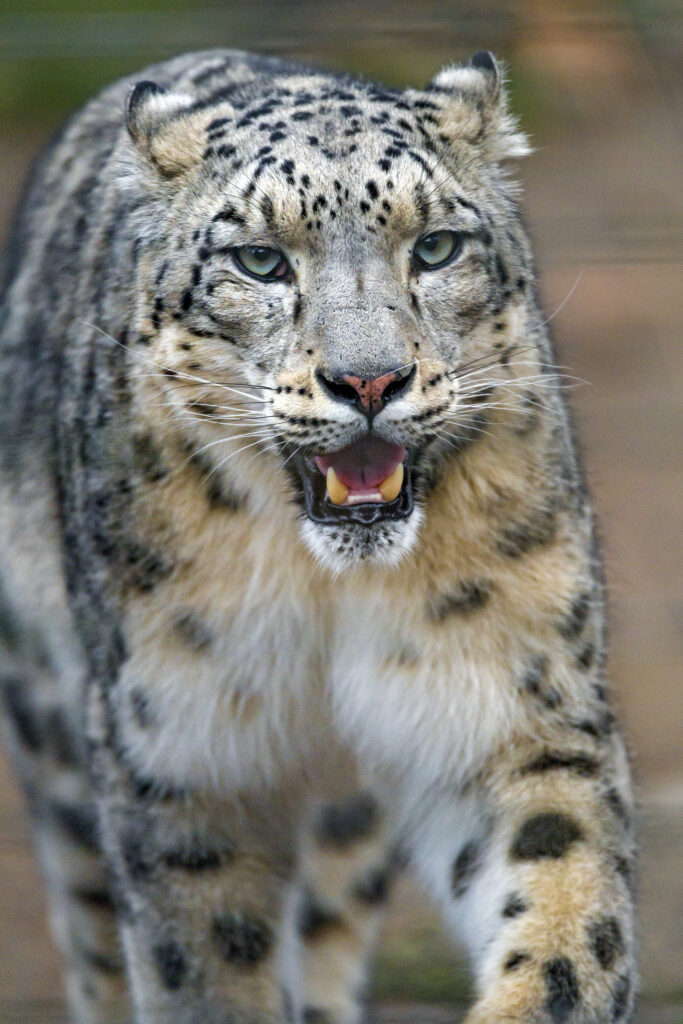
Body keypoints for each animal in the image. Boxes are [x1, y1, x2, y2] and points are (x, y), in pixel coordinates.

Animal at [0, 47, 637, 1024]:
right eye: (259, 260)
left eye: (437, 246)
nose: (368, 380)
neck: (330, 592)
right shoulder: (183, 754)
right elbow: (203, 967)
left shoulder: (513, 702)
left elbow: (564, 905)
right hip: (54, 734)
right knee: (94, 941)